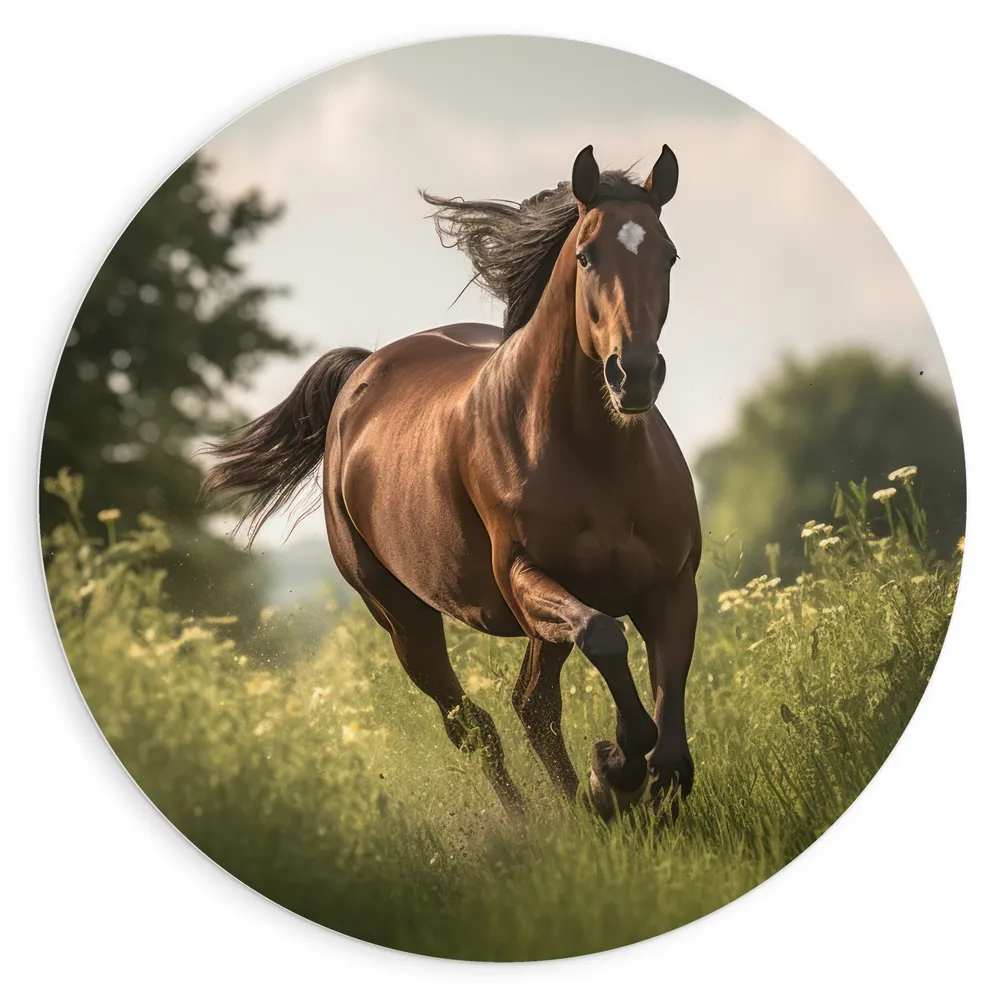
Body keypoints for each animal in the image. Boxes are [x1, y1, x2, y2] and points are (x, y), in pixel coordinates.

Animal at [202, 144, 701, 821]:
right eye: (586, 256)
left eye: (668, 254)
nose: (636, 375)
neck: (597, 460)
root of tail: (361, 373)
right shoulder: (525, 578)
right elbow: (604, 637)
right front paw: (615, 766)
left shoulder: (672, 589)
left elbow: (670, 747)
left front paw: (625, 780)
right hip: (402, 615)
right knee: (473, 722)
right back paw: (531, 822)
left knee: (530, 707)